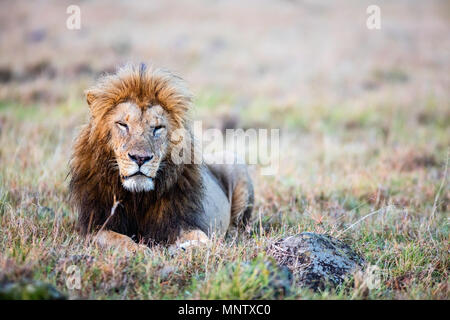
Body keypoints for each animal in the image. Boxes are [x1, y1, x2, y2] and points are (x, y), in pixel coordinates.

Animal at [69, 63, 255, 252]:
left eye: (158, 128)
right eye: (122, 124)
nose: (140, 158)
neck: (137, 198)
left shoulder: (180, 222)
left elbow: (202, 239)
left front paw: (184, 248)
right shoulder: (94, 226)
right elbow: (117, 239)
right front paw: (141, 250)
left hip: (235, 163)